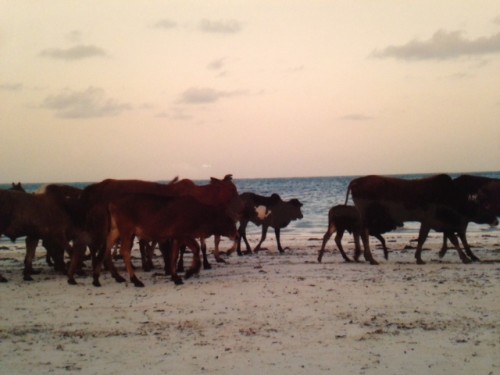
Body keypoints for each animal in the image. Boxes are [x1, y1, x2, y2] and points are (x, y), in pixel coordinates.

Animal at [94, 194, 240, 288]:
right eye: (228, 219)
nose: (236, 234)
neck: (199, 213)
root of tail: (112, 203)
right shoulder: (182, 234)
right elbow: (196, 248)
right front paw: (189, 272)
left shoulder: (176, 237)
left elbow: (174, 255)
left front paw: (176, 277)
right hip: (127, 231)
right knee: (124, 251)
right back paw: (135, 280)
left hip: (115, 231)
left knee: (105, 250)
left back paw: (98, 279)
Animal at [346, 175, 498, 266]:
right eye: (485, 207)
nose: (496, 221)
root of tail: (356, 181)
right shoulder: (434, 221)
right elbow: (452, 239)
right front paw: (465, 258)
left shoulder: (432, 223)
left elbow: (422, 238)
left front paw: (418, 257)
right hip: (367, 216)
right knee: (364, 234)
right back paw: (370, 258)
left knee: (360, 232)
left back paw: (363, 256)